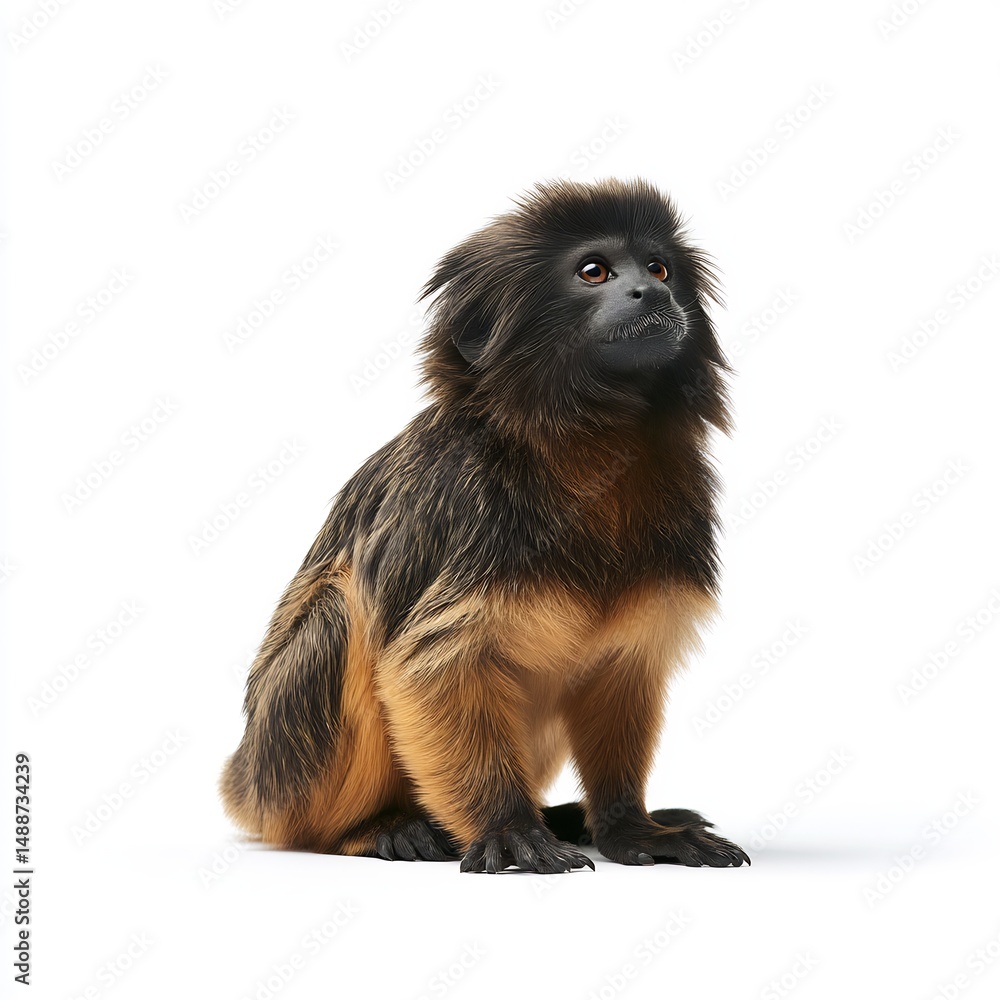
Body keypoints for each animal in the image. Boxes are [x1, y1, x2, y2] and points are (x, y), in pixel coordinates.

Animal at [220, 177, 750, 873]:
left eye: (659, 268)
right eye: (595, 272)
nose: (652, 293)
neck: (590, 450)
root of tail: (242, 779)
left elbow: (620, 664)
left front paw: (629, 826)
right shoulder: (467, 498)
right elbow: (429, 666)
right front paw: (506, 826)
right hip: (277, 780)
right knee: (336, 617)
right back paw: (374, 829)